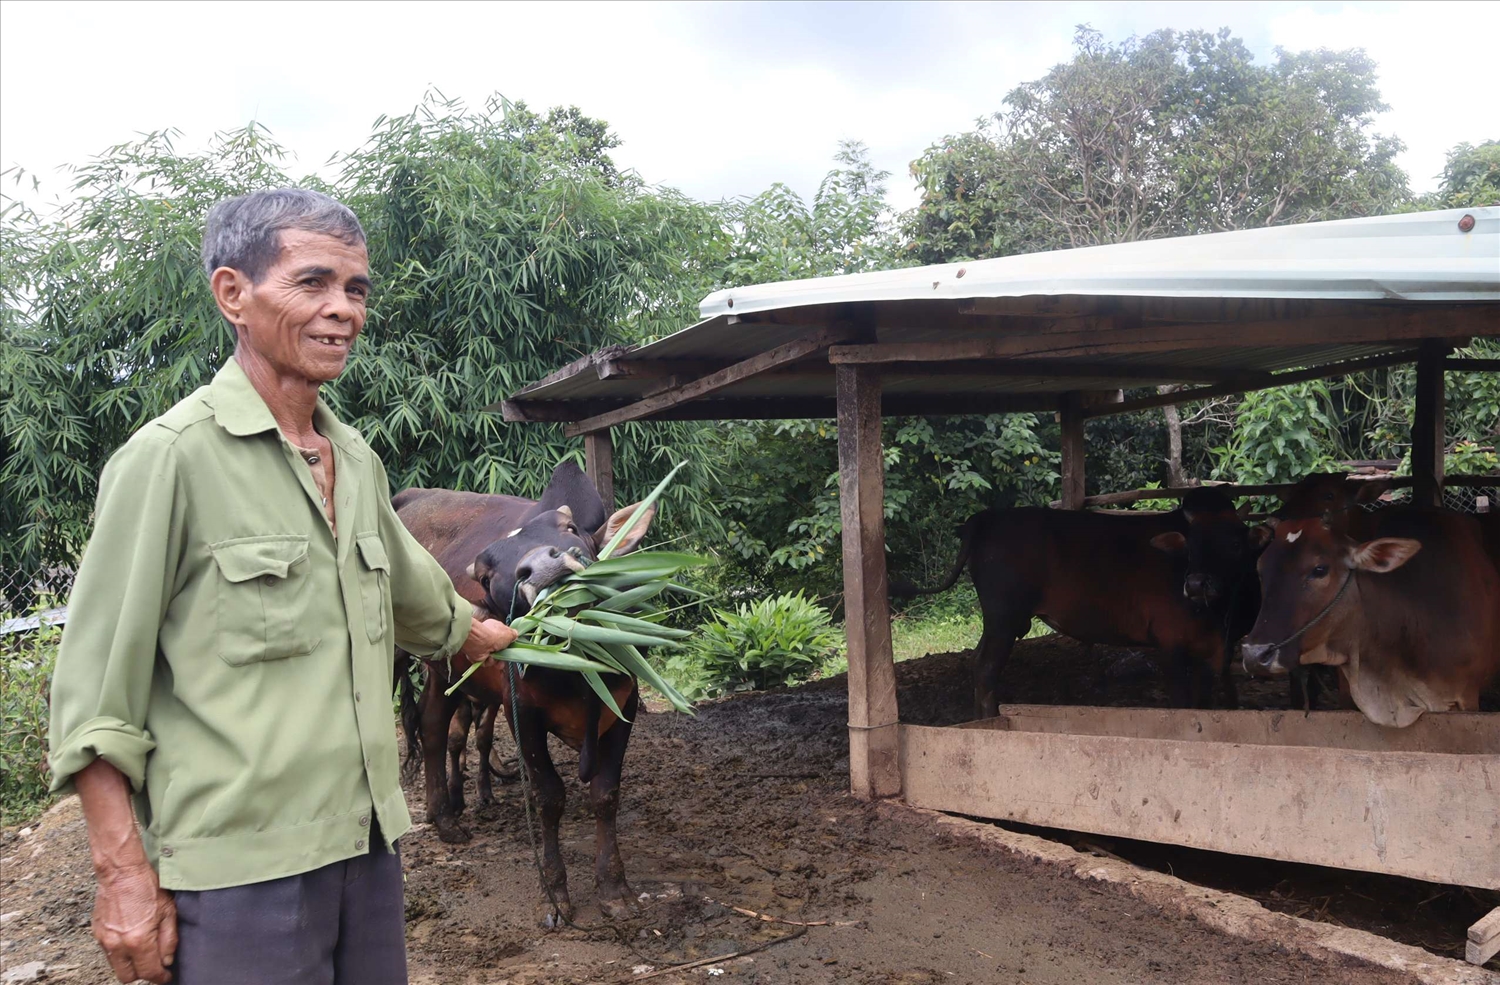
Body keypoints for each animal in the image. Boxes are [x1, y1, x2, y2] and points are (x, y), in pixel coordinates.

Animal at [393, 461, 657, 923]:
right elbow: (548, 796)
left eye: (569, 528)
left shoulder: (624, 705)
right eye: (485, 575)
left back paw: (444, 814)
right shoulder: (524, 716)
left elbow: (605, 793)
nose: (538, 566)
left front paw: (614, 888)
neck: (578, 666)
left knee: (433, 724)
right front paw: (556, 894)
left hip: (446, 673)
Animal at [894, 482, 1260, 713]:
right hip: (1004, 616)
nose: (1197, 583)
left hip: (999, 621)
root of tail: (987, 517)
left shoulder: (1219, 651)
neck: (1221, 613)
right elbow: (1184, 703)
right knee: (985, 670)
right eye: (1191, 546)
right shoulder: (1170, 642)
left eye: (1235, 543)